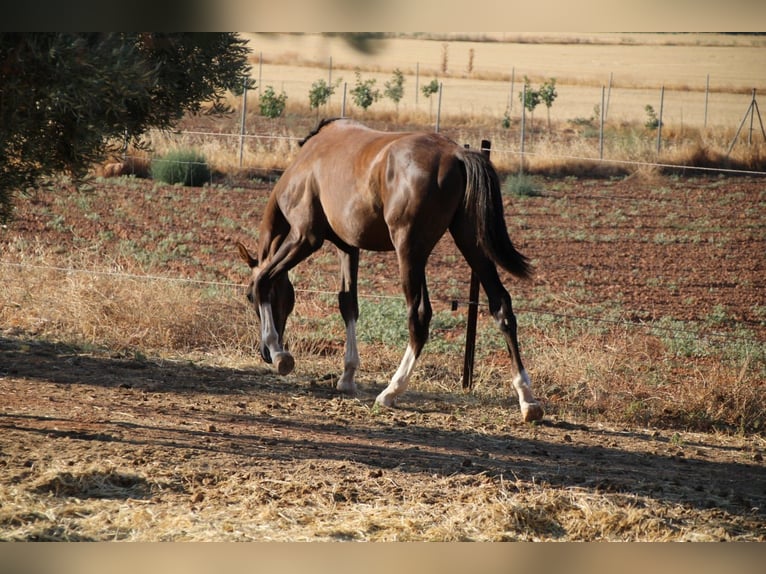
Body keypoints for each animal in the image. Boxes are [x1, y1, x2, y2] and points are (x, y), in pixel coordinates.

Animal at [237, 118, 544, 424]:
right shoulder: (348, 247)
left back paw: (391, 391)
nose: (264, 354)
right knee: (501, 306)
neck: (306, 163)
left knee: (419, 315)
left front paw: (280, 353)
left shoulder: (305, 237)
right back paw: (527, 399)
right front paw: (347, 376)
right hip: (471, 243)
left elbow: (264, 279)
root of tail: (457, 154)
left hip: (409, 250)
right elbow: (348, 304)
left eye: (249, 298)